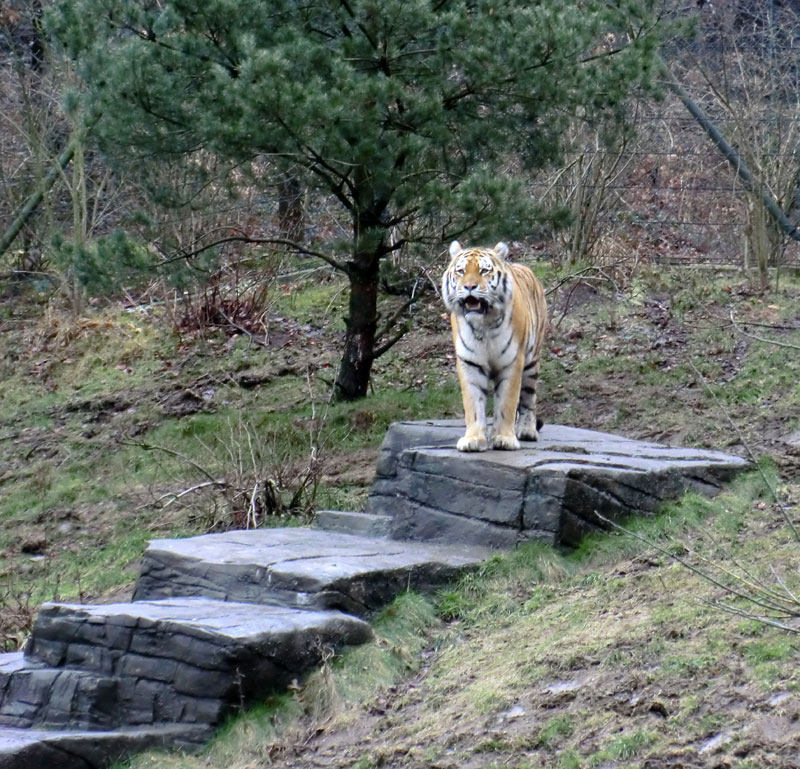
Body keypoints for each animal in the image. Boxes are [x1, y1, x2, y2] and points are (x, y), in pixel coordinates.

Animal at [440, 240, 548, 450]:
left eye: (484, 271)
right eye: (460, 271)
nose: (469, 286)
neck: (484, 326)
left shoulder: (512, 362)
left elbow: (507, 403)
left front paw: (504, 438)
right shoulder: (470, 362)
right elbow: (473, 404)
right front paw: (473, 439)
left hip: (532, 362)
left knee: (528, 398)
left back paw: (527, 430)